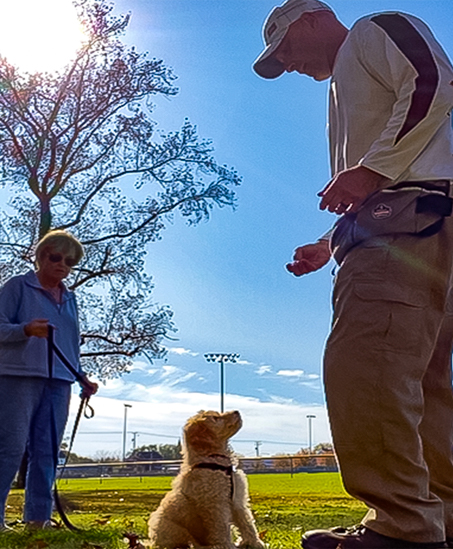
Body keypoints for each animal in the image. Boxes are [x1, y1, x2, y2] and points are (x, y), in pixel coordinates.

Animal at [147, 408, 264, 548]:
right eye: (215, 418)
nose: (237, 411)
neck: (212, 460)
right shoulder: (216, 503)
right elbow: (222, 526)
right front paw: (227, 545)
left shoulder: (237, 500)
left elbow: (246, 523)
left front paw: (256, 543)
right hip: (173, 528)